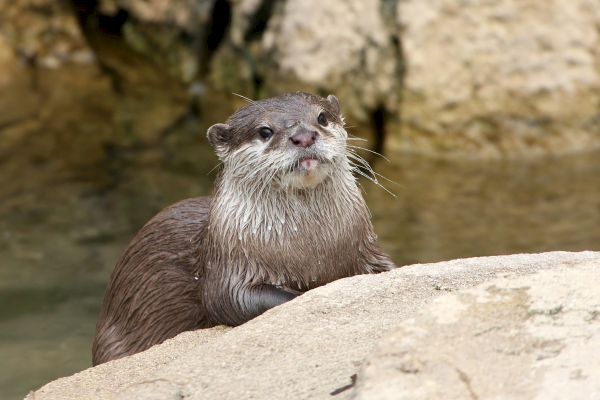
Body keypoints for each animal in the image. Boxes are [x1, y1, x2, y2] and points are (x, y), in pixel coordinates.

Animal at [92, 93, 394, 366]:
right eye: (265, 131)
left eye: (321, 117)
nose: (304, 136)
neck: (311, 252)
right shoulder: (226, 270)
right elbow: (233, 300)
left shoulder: (367, 249)